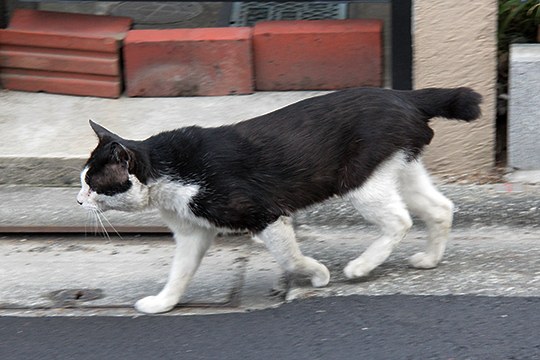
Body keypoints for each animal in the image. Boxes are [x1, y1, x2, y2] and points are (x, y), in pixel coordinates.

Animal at [76, 86, 480, 312]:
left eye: (93, 184)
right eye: (83, 181)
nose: (79, 201)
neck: (165, 170)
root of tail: (402, 94)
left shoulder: (264, 214)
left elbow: (290, 258)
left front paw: (316, 275)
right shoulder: (193, 232)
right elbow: (180, 272)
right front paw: (163, 303)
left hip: (361, 183)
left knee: (400, 220)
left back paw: (361, 267)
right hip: (399, 167)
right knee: (440, 209)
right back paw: (429, 259)